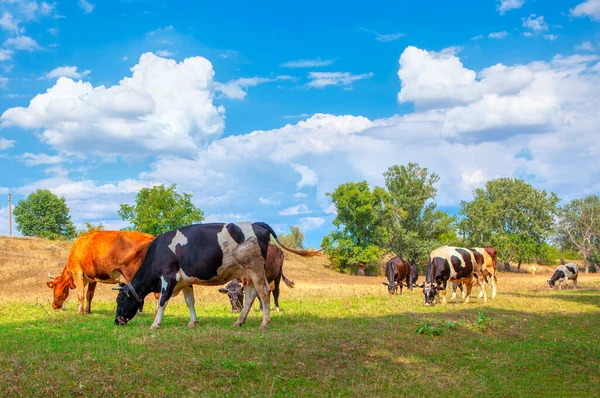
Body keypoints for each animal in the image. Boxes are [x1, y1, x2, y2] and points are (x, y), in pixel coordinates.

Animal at [113, 221, 318, 330]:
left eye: (120, 301)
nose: (116, 321)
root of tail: (256, 223)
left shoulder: (168, 276)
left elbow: (163, 301)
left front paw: (155, 324)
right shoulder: (185, 281)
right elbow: (190, 301)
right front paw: (193, 322)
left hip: (256, 268)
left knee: (265, 292)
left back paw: (264, 322)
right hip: (247, 273)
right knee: (251, 295)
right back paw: (239, 321)